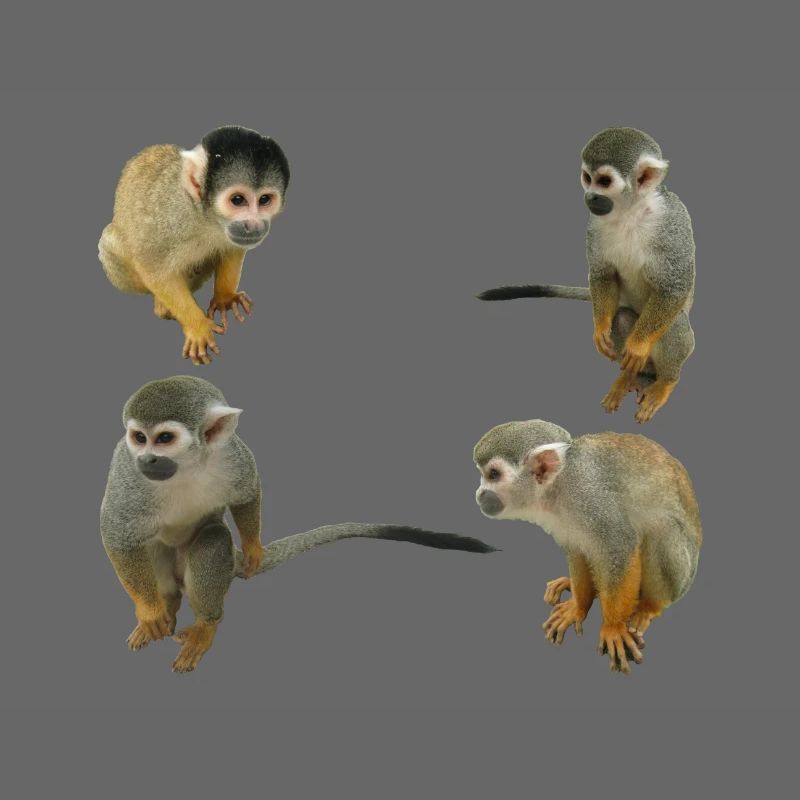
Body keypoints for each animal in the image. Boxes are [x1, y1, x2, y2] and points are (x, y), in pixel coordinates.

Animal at [98, 126, 290, 366]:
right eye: (238, 200)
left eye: (264, 200)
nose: (254, 225)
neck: (206, 216)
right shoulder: (170, 217)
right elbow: (151, 265)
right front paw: (197, 326)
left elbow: (232, 248)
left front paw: (225, 297)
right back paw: (161, 304)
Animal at [101, 376, 495, 673]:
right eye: (139, 438)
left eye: (164, 439)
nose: (148, 459)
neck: (188, 466)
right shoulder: (127, 470)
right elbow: (116, 533)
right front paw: (150, 611)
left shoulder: (232, 454)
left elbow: (247, 492)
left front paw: (254, 548)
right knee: (150, 549)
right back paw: (164, 606)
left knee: (213, 538)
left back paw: (206, 624)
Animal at [473, 419, 702, 673]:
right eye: (484, 475)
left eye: (493, 474)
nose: (479, 493)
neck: (558, 486)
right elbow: (577, 549)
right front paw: (578, 607)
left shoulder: (589, 497)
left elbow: (618, 546)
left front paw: (613, 628)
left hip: (683, 573)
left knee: (662, 529)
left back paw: (649, 606)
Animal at [479, 127, 695, 423]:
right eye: (587, 178)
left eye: (604, 181)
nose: (590, 197)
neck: (630, 211)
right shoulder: (594, 224)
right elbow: (603, 274)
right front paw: (600, 327)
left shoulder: (672, 221)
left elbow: (674, 286)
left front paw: (638, 345)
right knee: (622, 317)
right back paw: (629, 377)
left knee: (673, 323)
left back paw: (665, 382)